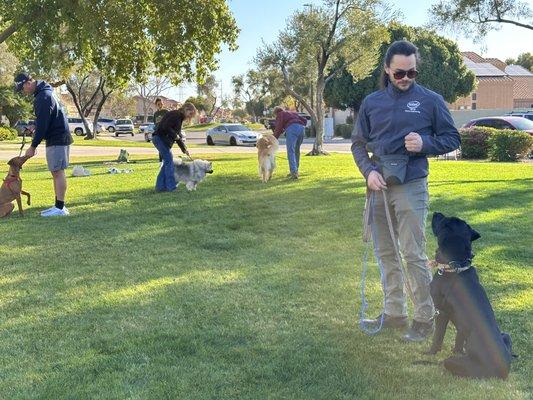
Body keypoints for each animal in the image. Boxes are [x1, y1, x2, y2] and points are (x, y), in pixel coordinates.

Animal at [424, 212, 512, 378]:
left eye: (445, 221)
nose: (436, 213)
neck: (455, 265)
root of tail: (503, 371)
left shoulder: (442, 313)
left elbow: (437, 338)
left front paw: (430, 353)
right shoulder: (460, 325)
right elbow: (458, 340)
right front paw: (457, 349)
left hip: (453, 362)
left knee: (446, 363)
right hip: (506, 334)